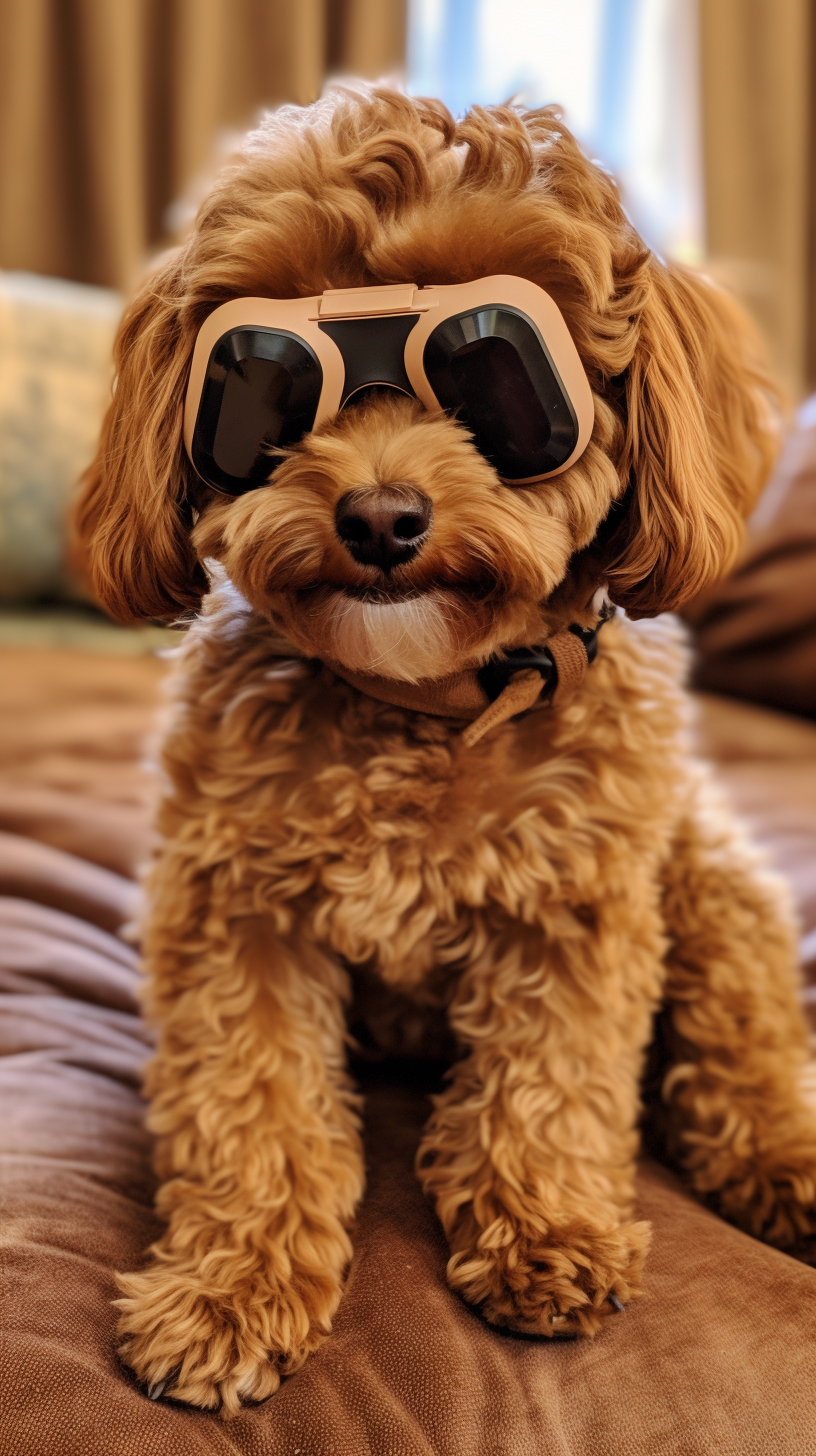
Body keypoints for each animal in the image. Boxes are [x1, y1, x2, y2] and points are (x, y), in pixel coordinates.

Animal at [73, 88, 816, 1409]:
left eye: (496, 374)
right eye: (258, 383)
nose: (379, 516)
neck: (422, 702)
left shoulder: (576, 906)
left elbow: (553, 1081)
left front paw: (548, 1234)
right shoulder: (232, 911)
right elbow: (251, 1105)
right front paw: (229, 1289)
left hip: (710, 879)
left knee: (748, 1049)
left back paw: (787, 1161)